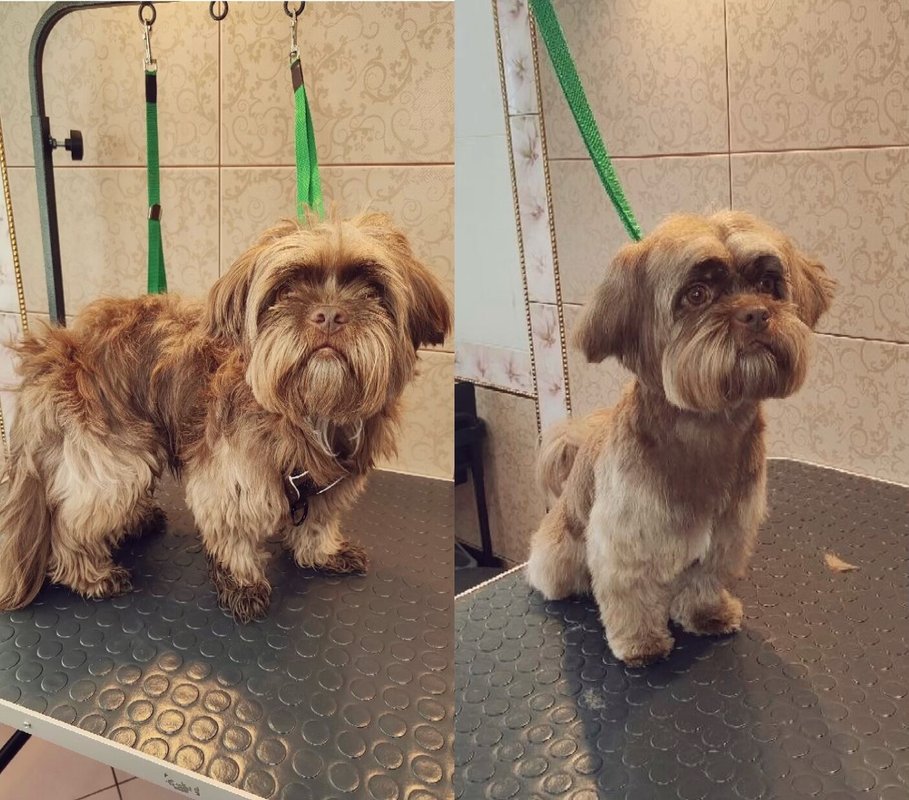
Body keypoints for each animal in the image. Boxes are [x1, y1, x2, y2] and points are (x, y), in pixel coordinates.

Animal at [0, 212, 451, 622]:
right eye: (287, 289)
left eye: (372, 289)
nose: (328, 314)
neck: (309, 411)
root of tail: (58, 348)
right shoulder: (231, 477)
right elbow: (235, 532)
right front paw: (242, 582)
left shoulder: (333, 480)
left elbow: (318, 522)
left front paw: (321, 553)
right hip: (114, 452)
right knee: (71, 522)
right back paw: (89, 574)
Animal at [526, 211, 835, 666]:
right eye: (697, 294)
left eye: (767, 285)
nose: (756, 314)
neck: (707, 429)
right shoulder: (625, 538)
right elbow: (630, 592)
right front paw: (640, 641)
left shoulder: (725, 531)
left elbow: (703, 578)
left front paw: (705, 613)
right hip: (560, 554)